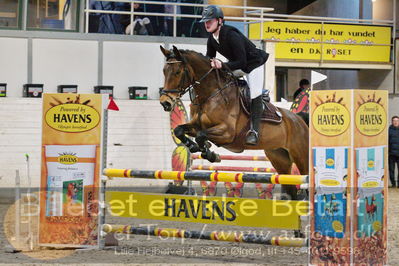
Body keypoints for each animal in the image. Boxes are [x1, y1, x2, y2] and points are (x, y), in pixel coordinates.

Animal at [159, 45, 310, 201]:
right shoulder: (196, 126)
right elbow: (180, 130)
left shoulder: (227, 133)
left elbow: (201, 135)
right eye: (164, 71)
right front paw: (196, 147)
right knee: (291, 189)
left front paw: (209, 153)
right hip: (279, 159)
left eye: (177, 72)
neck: (211, 95)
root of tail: (299, 120)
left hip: (301, 157)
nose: (165, 102)